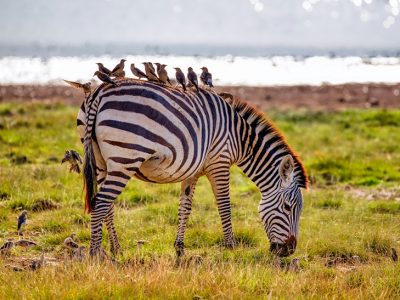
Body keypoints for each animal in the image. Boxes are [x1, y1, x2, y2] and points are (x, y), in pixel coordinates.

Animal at [76, 78, 308, 258]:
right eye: (288, 207)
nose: (289, 251)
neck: (240, 137)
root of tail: (100, 91)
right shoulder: (219, 162)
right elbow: (224, 205)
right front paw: (231, 247)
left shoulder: (193, 170)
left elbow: (185, 207)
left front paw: (179, 249)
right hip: (124, 159)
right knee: (101, 203)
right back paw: (95, 254)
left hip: (101, 162)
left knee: (106, 204)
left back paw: (116, 249)